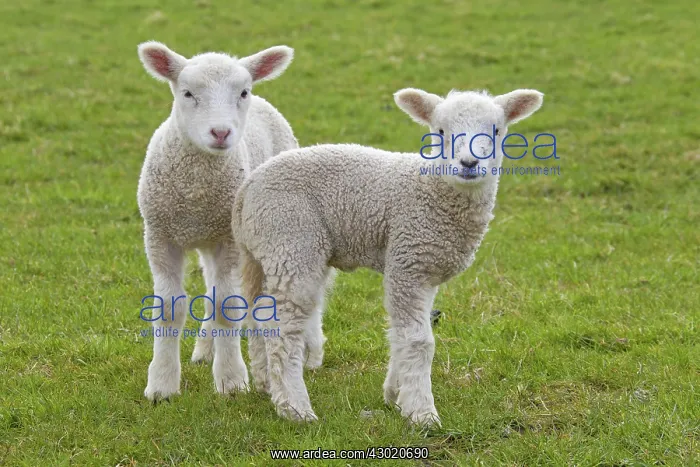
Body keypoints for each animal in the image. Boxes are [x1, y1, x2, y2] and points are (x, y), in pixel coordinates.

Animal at [136, 41, 327, 401]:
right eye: (187, 93)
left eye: (242, 92)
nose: (221, 132)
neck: (196, 191)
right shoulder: (160, 236)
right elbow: (169, 308)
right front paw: (162, 384)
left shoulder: (228, 239)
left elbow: (227, 305)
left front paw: (231, 380)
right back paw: (205, 348)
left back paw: (310, 352)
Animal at [232, 87, 544, 425]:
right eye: (440, 131)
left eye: (497, 130)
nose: (469, 163)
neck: (431, 189)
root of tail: (247, 189)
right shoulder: (409, 260)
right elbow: (419, 340)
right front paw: (421, 412)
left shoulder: (422, 269)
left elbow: (401, 334)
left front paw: (396, 394)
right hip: (291, 240)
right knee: (283, 328)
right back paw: (295, 408)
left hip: (262, 253)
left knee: (258, 315)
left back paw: (266, 384)